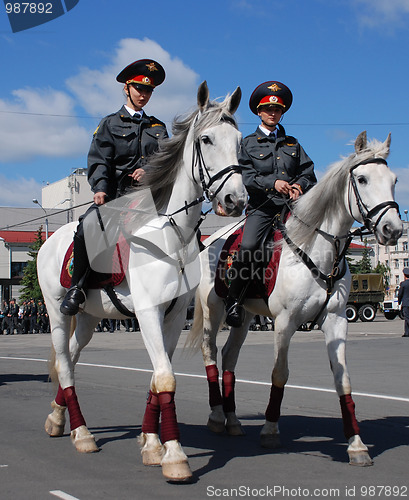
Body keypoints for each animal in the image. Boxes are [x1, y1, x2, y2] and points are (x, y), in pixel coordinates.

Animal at [37, 81, 245, 480]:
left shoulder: (174, 318)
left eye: (240, 140)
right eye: (207, 139)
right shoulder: (148, 313)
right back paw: (82, 433)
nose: (236, 199)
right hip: (57, 312)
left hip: (89, 318)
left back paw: (57, 418)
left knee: (71, 355)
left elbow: (158, 376)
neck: (170, 234)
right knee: (65, 362)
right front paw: (175, 456)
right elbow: (165, 378)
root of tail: (50, 240)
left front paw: (152, 444)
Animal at [187, 132, 402, 464]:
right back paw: (216, 416)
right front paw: (270, 430)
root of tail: (209, 242)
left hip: (244, 316)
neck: (316, 248)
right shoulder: (285, 322)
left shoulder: (336, 321)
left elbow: (343, 378)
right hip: (214, 310)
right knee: (210, 352)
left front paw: (356, 444)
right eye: (362, 179)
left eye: (394, 180)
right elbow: (280, 373)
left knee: (230, 356)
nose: (393, 230)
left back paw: (233, 420)